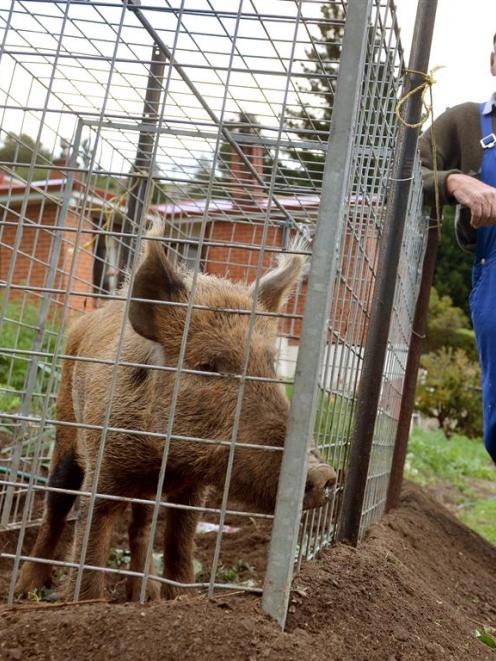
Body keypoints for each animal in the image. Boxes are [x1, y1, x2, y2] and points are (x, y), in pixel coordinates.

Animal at [15, 226, 336, 600]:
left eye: (270, 365)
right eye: (207, 366)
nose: (324, 473)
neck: (165, 459)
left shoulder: (194, 488)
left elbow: (180, 545)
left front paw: (177, 597)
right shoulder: (104, 464)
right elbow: (90, 547)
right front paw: (84, 602)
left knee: (141, 524)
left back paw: (146, 593)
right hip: (66, 424)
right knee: (56, 503)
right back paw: (25, 589)